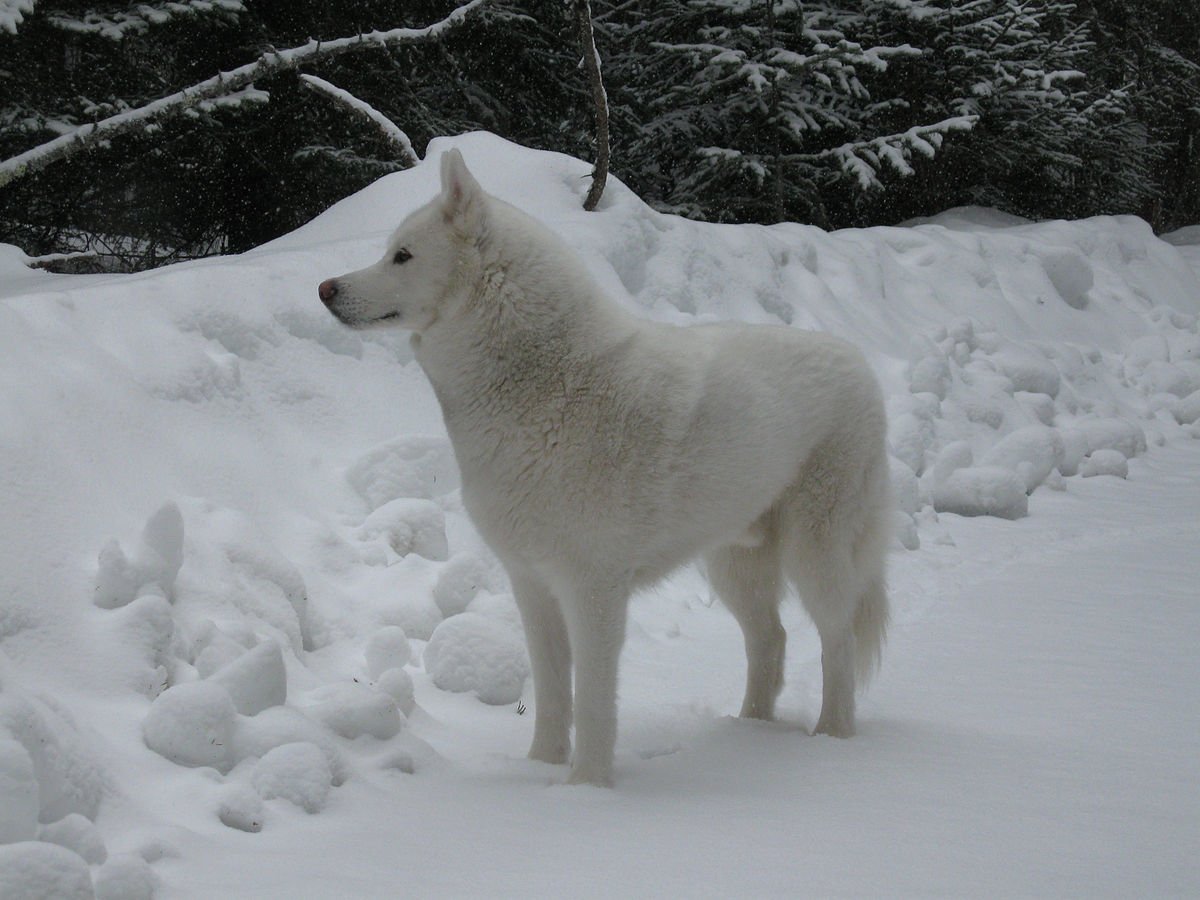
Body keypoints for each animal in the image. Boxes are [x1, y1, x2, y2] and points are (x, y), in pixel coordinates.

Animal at [319, 151, 892, 787]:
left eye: (403, 255)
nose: (325, 289)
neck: (543, 379)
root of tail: (858, 363)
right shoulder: (532, 586)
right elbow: (552, 695)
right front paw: (540, 771)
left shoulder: (593, 590)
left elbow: (592, 701)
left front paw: (588, 789)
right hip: (734, 565)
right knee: (771, 639)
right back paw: (749, 733)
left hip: (816, 556)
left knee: (837, 641)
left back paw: (831, 739)